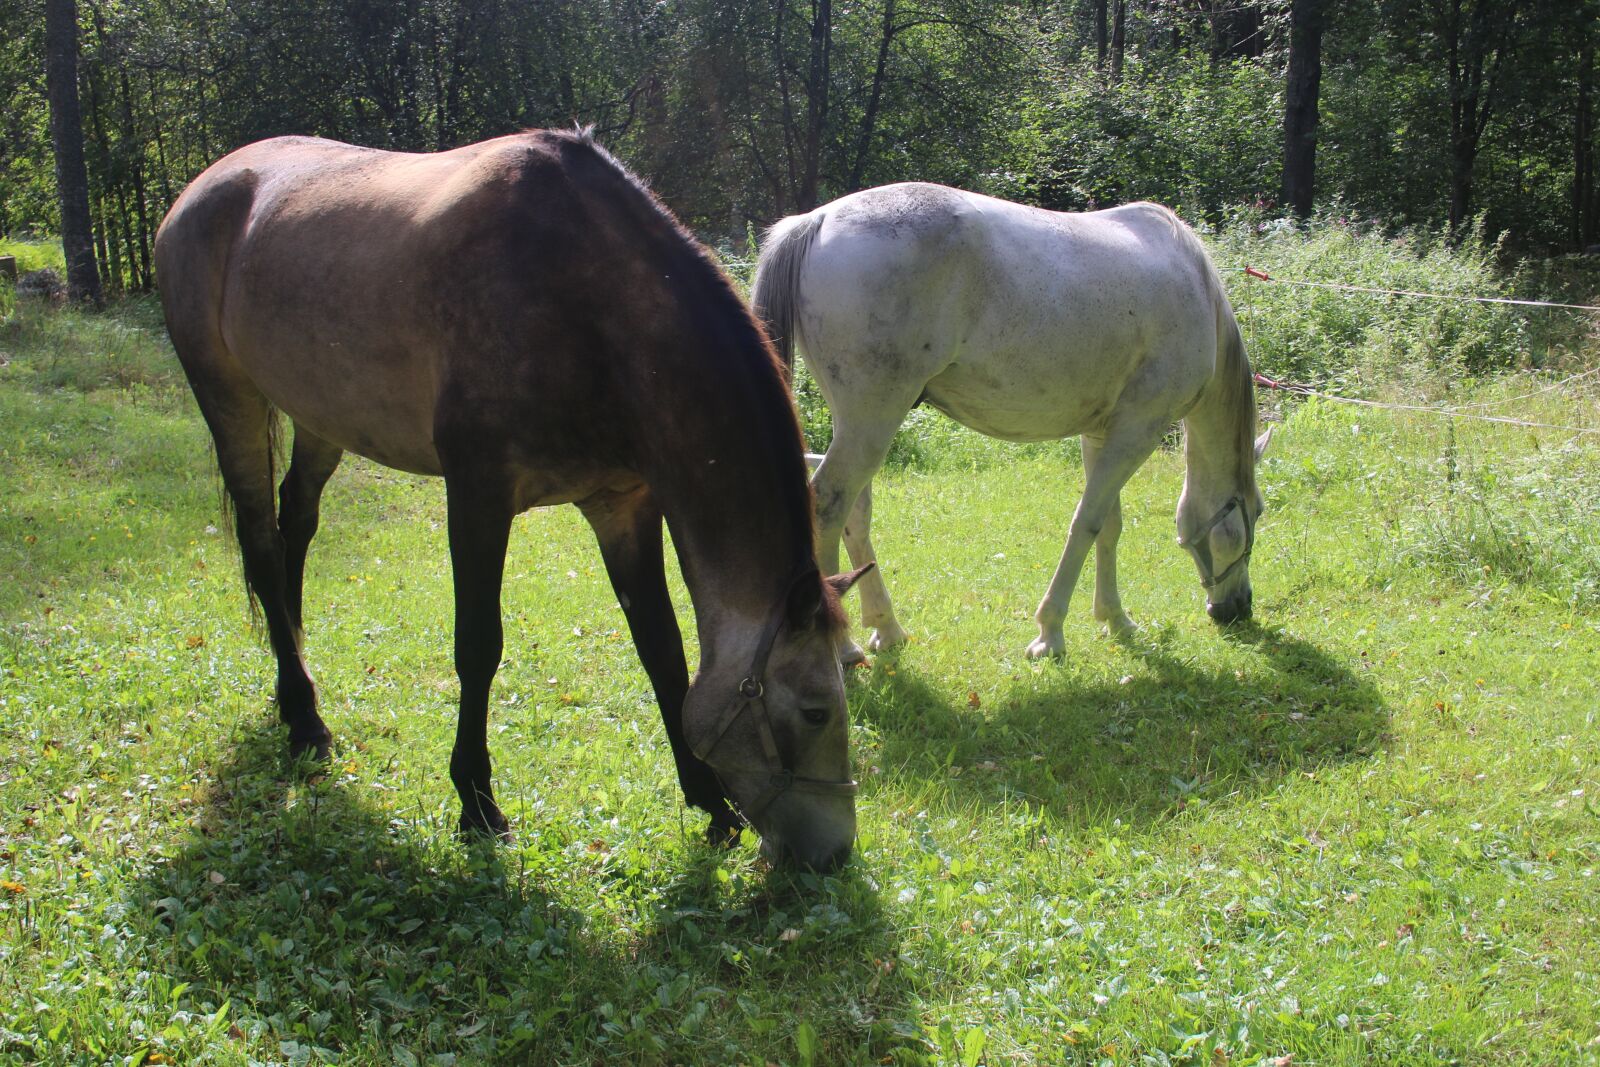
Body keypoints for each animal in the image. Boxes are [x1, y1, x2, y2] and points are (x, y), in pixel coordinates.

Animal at [155, 129, 869, 871]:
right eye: (816, 709)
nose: (834, 853)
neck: (586, 305)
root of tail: (204, 186)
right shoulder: (479, 495)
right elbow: (479, 645)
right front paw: (476, 803)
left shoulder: (623, 505)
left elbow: (662, 649)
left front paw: (710, 805)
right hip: (229, 397)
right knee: (263, 545)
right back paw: (302, 716)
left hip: (321, 415)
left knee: (297, 520)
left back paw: (291, 675)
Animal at [752, 183, 1271, 662]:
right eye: (1258, 511)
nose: (1238, 608)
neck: (1195, 288)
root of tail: (817, 220)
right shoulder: (1137, 431)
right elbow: (1087, 522)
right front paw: (1051, 633)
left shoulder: (1102, 433)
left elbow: (1110, 525)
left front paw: (1116, 619)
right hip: (873, 420)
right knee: (830, 506)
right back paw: (842, 647)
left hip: (860, 424)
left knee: (856, 514)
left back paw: (887, 628)